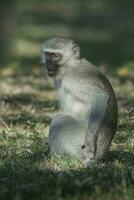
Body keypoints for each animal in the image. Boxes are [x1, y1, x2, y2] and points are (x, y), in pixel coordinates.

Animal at [41, 38, 118, 166]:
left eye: (56, 56)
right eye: (47, 55)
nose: (49, 65)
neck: (69, 67)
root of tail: (101, 154)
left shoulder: (76, 79)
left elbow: (99, 96)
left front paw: (90, 141)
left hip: (78, 140)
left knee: (60, 120)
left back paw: (57, 158)